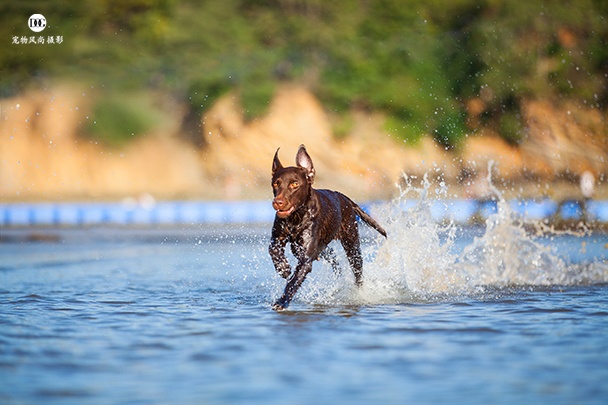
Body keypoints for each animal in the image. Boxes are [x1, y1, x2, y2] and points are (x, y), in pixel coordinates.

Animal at [270, 144, 388, 310]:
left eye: (294, 184)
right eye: (276, 184)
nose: (277, 202)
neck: (296, 218)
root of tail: (346, 199)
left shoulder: (305, 259)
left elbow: (293, 282)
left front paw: (282, 301)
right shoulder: (278, 238)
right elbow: (273, 250)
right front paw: (283, 268)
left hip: (352, 246)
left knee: (358, 273)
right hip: (314, 247)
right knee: (332, 257)